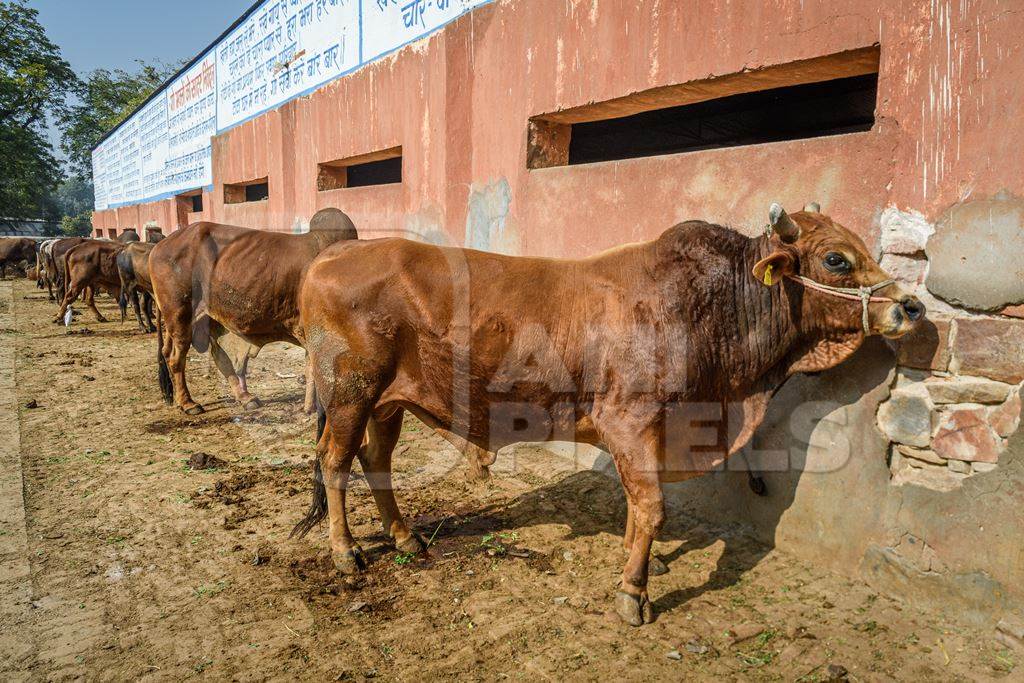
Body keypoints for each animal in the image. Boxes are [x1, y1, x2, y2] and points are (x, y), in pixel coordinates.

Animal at [149, 208, 360, 413]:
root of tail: (158, 246)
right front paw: (311, 408)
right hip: (179, 314)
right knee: (177, 358)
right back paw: (188, 403)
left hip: (205, 319)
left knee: (214, 357)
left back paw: (245, 398)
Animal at [292, 201, 925, 626]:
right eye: (836, 259)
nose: (912, 305)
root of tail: (334, 254)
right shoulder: (631, 423)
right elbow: (652, 509)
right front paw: (634, 592)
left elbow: (636, 505)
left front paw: (643, 565)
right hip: (350, 392)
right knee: (334, 461)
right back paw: (346, 554)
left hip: (389, 402)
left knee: (375, 461)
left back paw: (404, 538)